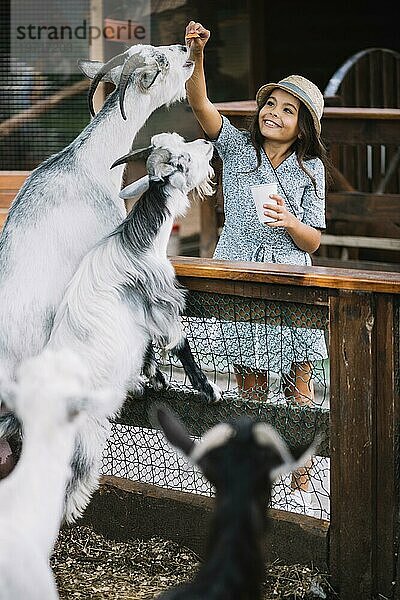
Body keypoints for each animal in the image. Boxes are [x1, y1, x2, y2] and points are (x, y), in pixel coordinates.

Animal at [40, 130, 219, 520]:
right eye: (182, 159)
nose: (208, 144)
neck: (139, 243)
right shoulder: (162, 301)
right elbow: (178, 342)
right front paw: (209, 390)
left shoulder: (142, 318)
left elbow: (149, 345)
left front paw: (153, 376)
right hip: (87, 435)